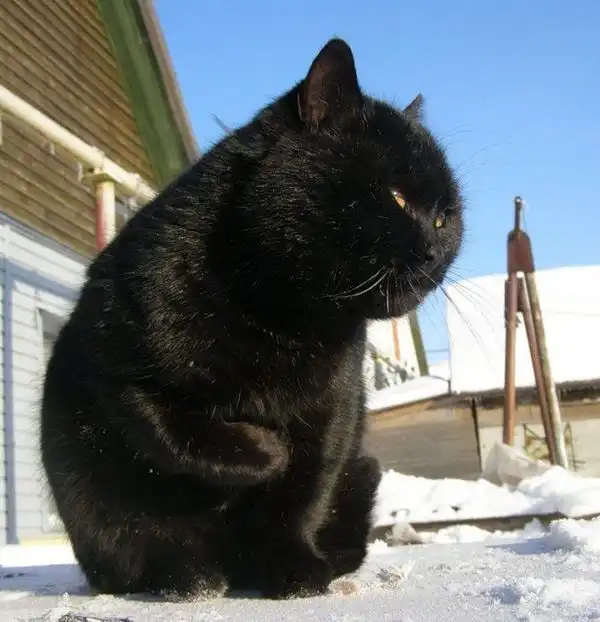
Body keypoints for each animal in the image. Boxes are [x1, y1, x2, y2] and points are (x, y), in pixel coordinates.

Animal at [40, 38, 464, 600]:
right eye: (396, 196)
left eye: (444, 218)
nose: (435, 251)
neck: (284, 317)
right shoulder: (119, 369)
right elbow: (176, 434)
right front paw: (265, 451)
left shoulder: (332, 415)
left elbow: (300, 496)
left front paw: (291, 568)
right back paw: (187, 575)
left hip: (365, 467)